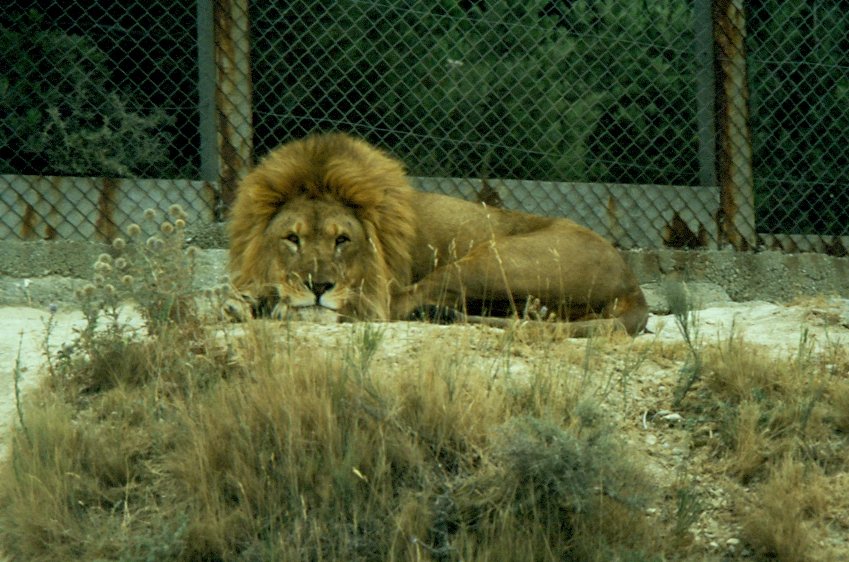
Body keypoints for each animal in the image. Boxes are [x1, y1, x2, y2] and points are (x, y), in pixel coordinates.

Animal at [227, 132, 648, 332]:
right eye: (292, 239)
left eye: (342, 240)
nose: (318, 286)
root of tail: (633, 281)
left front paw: (263, 300)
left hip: (491, 260)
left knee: (398, 305)